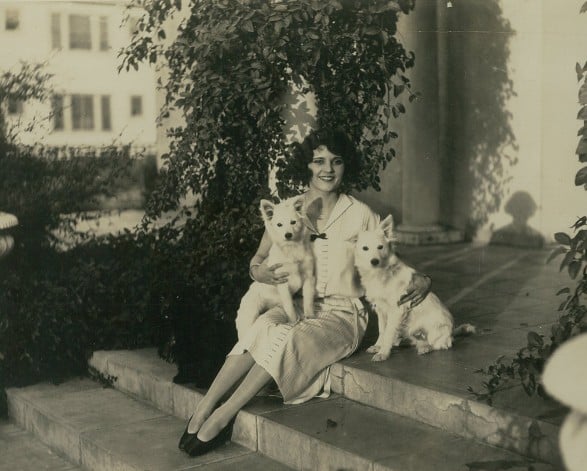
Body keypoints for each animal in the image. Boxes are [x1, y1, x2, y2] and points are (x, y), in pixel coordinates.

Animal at [235, 195, 316, 340]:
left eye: (293, 222)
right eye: (279, 225)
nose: (288, 235)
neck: (291, 249)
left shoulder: (308, 277)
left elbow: (308, 299)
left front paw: (310, 315)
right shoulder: (282, 283)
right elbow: (289, 306)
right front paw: (293, 321)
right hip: (249, 318)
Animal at [354, 216, 474, 364]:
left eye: (380, 247)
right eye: (365, 248)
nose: (374, 261)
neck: (382, 273)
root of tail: (452, 332)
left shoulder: (396, 310)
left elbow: (388, 332)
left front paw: (383, 352)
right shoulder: (380, 309)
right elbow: (382, 330)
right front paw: (378, 346)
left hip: (435, 330)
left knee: (439, 344)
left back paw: (425, 347)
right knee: (415, 340)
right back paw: (406, 343)